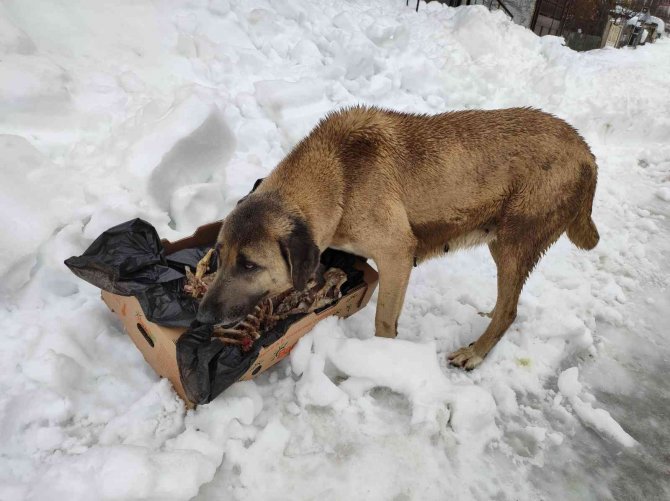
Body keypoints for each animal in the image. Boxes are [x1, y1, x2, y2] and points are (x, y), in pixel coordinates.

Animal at [197, 105, 600, 370]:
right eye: (217, 256)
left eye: (250, 265)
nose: (201, 315)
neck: (338, 178)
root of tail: (587, 152)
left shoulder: (396, 255)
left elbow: (383, 322)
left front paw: (383, 361)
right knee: (506, 303)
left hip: (512, 244)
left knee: (509, 310)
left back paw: (475, 352)